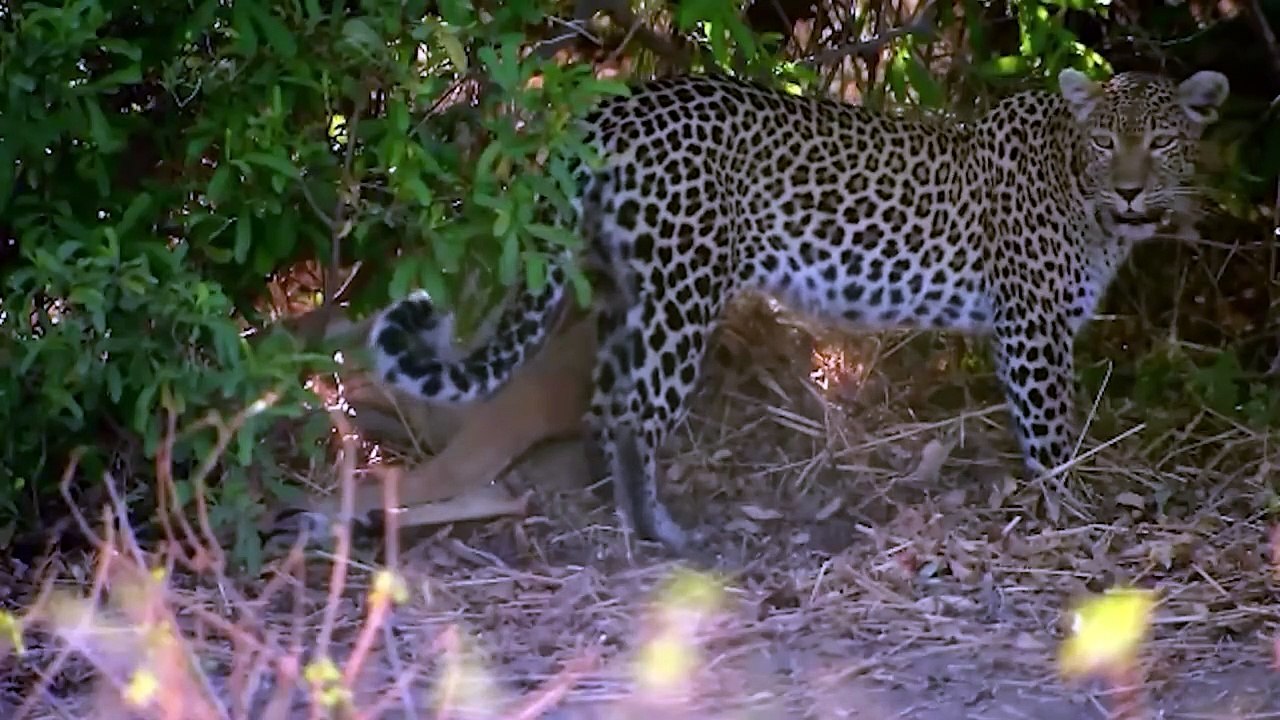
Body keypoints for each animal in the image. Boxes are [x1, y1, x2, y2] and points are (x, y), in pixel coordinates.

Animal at [369, 67, 1230, 553]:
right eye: (1106, 142)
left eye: (1159, 142)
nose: (1130, 190)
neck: (1080, 189)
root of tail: (617, 106)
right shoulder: (1031, 327)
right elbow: (1051, 431)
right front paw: (1075, 512)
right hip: (682, 291)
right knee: (637, 412)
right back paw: (663, 535)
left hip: (627, 288)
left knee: (607, 403)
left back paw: (613, 517)